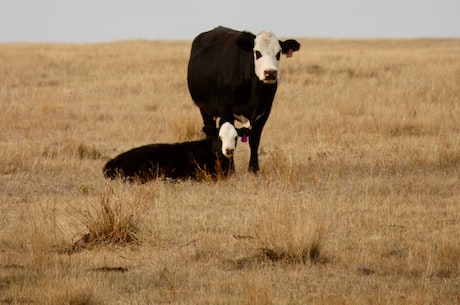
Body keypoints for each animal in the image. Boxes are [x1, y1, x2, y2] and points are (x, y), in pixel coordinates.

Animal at [188, 25, 300, 171]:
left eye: (278, 53)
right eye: (257, 53)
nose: (270, 73)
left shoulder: (265, 111)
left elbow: (254, 139)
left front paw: (254, 169)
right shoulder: (225, 108)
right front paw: (230, 168)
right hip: (205, 109)